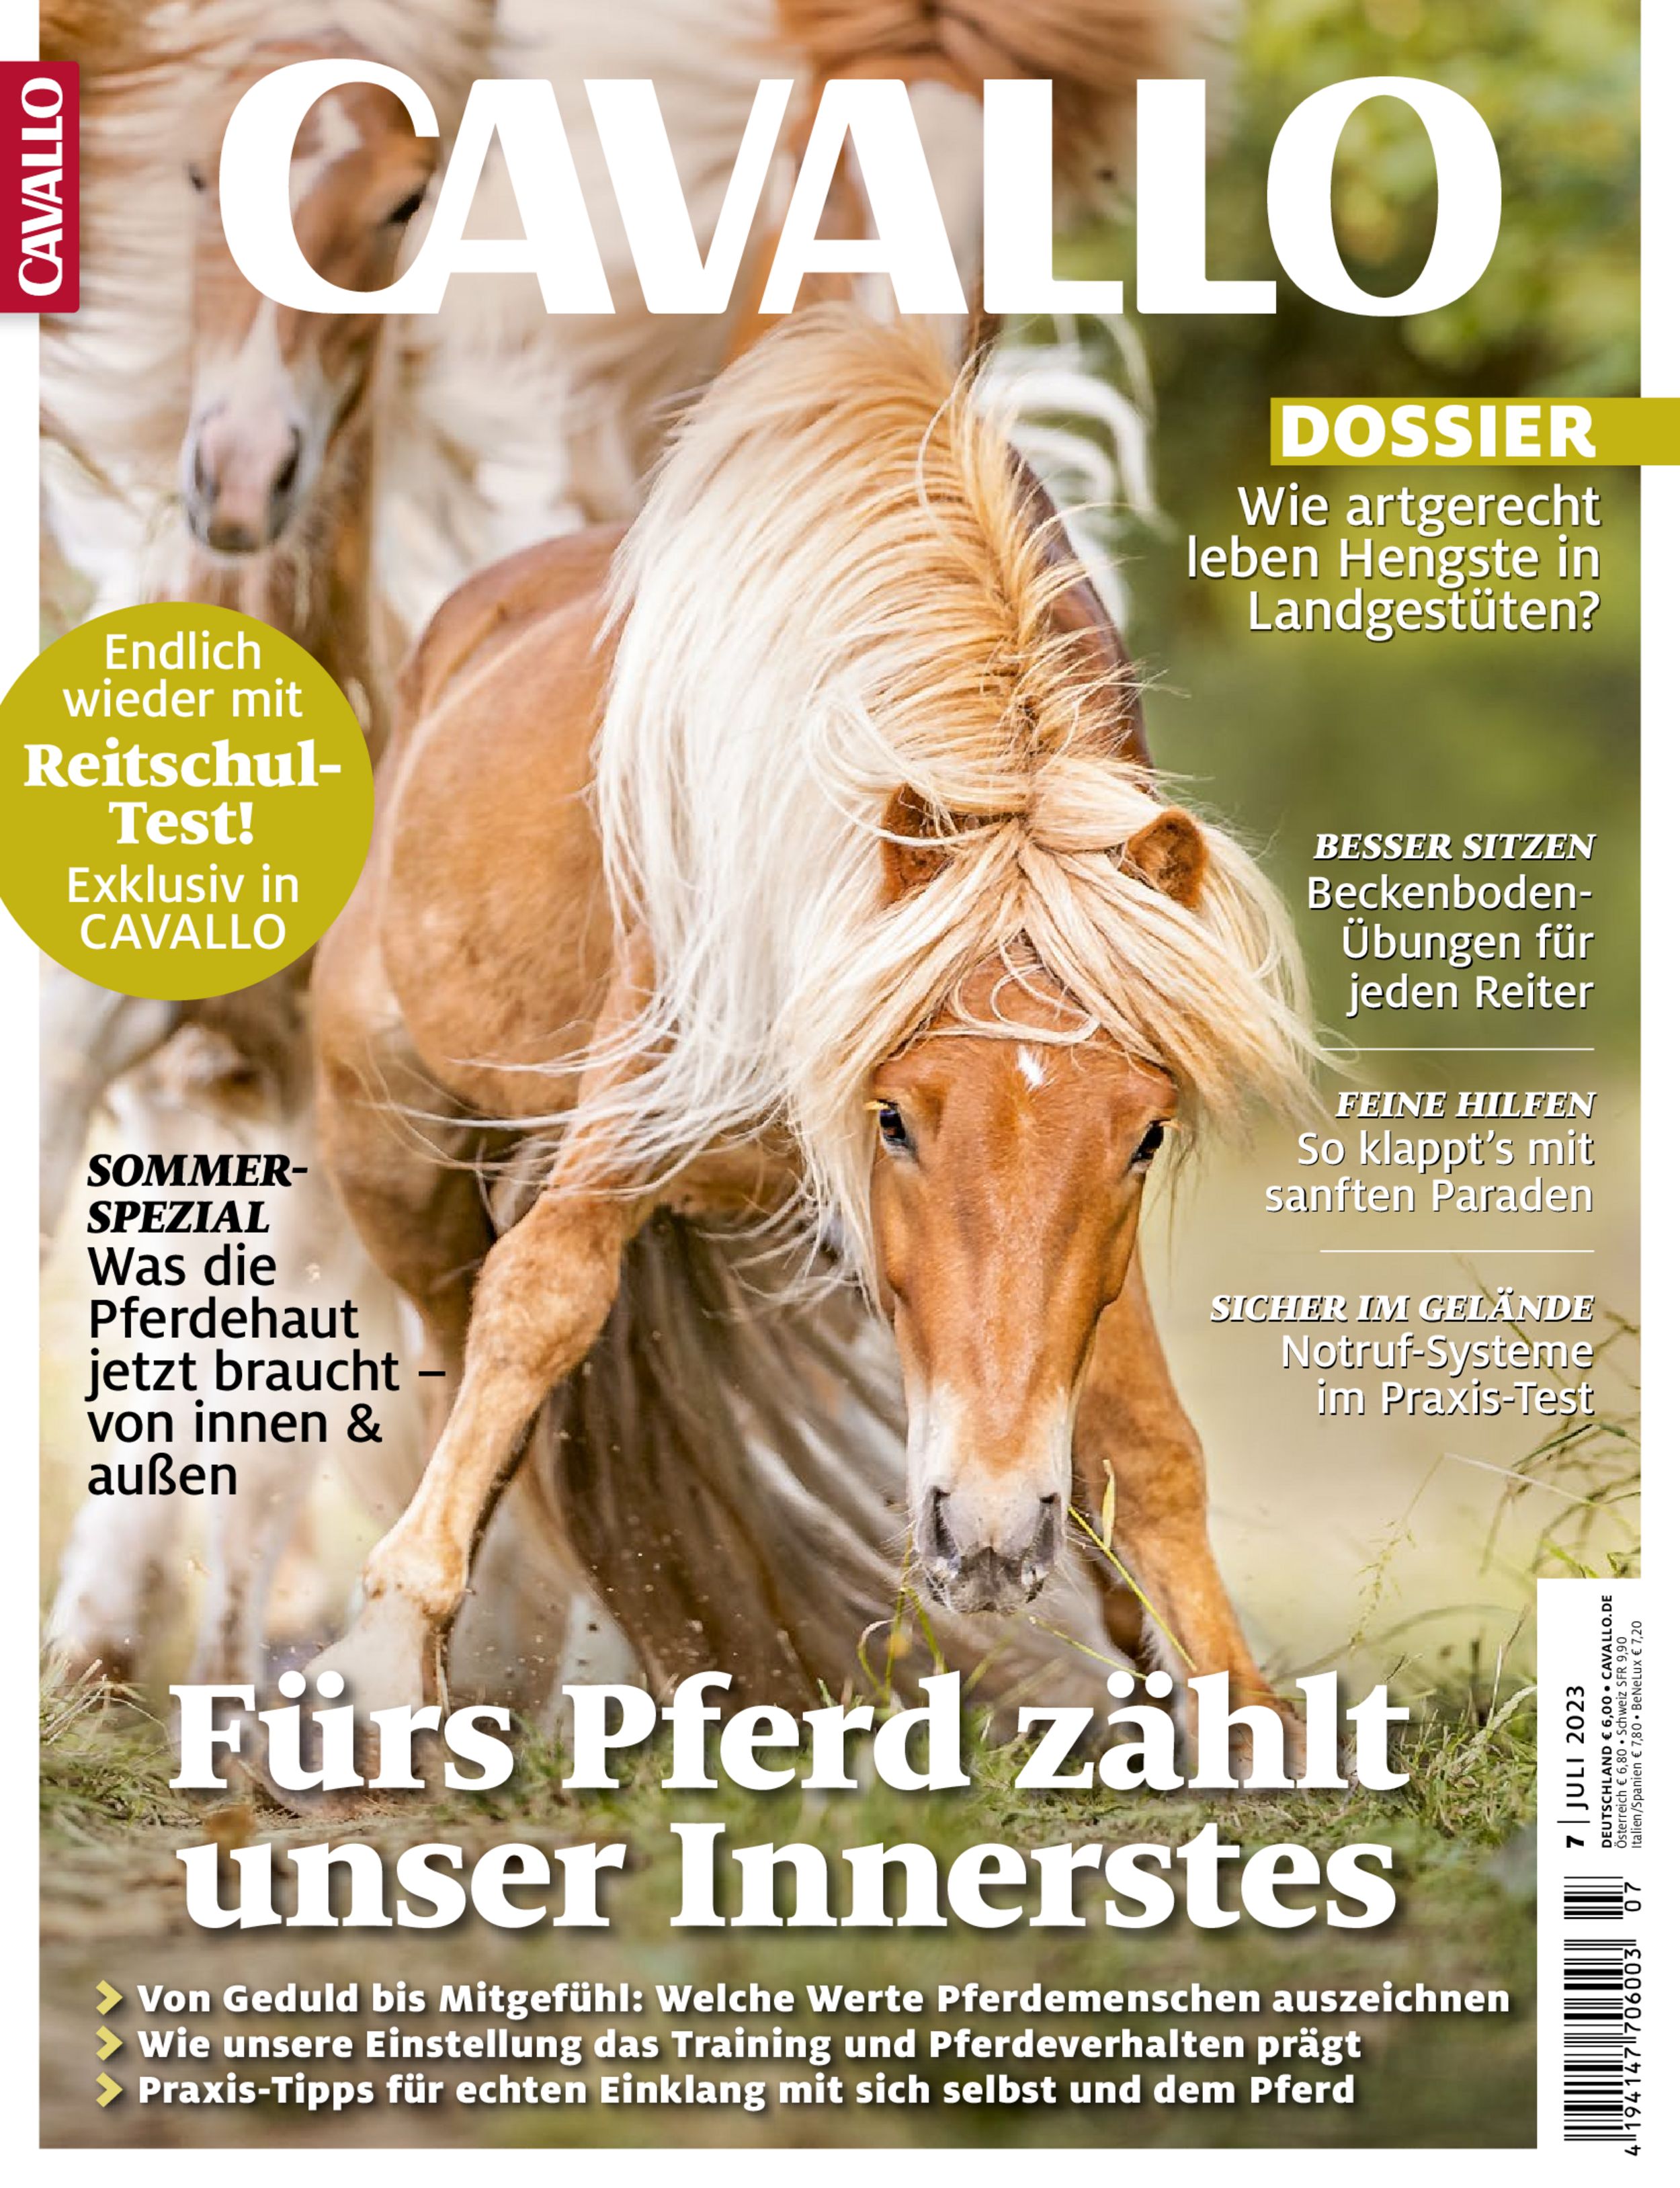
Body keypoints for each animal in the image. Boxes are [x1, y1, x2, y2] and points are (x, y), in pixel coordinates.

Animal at [302, 306, 1319, 1760]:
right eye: (892, 1117)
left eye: (1144, 1138)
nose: (994, 1538)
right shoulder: (628, 1115)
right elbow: (538, 1304)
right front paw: (393, 1647)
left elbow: (1145, 1434)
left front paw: (1240, 1712)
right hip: (390, 1141)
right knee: (463, 1345)